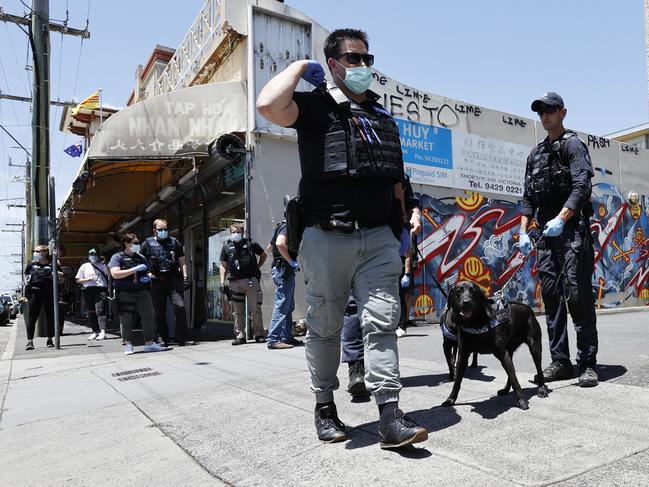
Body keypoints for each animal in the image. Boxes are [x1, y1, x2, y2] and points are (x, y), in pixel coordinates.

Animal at [440, 280, 548, 410]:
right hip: (509, 351)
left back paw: (542, 389)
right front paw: (450, 399)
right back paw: (505, 390)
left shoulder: (502, 353)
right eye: (458, 292)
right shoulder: (463, 356)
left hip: (534, 347)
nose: (466, 302)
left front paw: (522, 401)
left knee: (538, 370)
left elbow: (515, 379)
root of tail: (528, 309)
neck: (475, 323)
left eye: (473, 291)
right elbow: (457, 381)